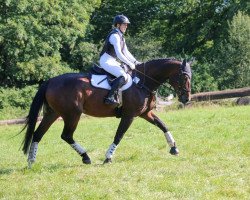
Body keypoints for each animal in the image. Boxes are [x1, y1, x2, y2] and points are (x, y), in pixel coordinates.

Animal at [21, 57, 192, 167]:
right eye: (184, 77)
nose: (186, 98)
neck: (143, 82)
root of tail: (50, 81)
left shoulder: (145, 113)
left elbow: (163, 125)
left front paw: (174, 147)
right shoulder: (129, 115)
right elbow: (119, 135)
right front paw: (108, 157)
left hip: (53, 113)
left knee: (38, 134)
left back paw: (31, 162)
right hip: (72, 114)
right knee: (66, 135)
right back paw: (86, 157)